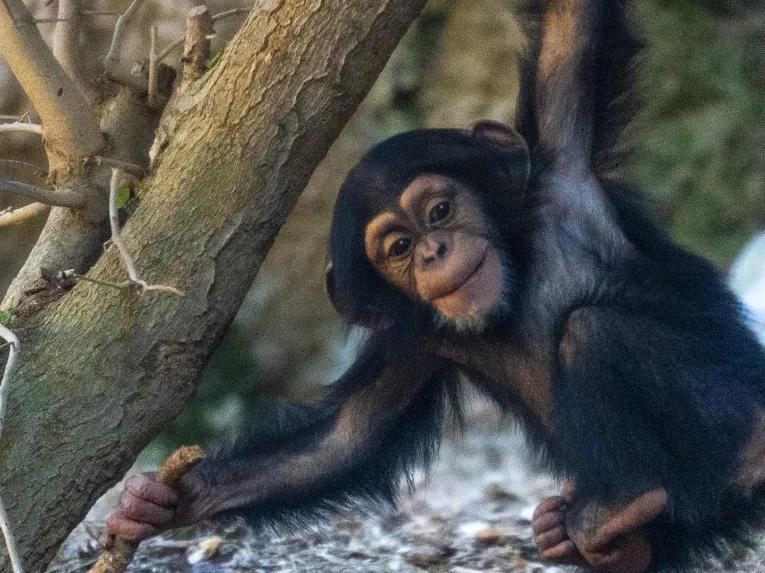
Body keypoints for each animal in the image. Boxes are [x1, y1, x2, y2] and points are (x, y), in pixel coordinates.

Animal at [105, 1, 765, 571]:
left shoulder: (564, 166)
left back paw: (624, 502)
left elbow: (571, 29)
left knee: (592, 330)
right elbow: (346, 439)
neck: (514, 283)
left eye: (441, 210)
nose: (432, 251)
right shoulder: (413, 340)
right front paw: (169, 500)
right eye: (398, 248)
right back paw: (616, 541)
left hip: (737, 409)